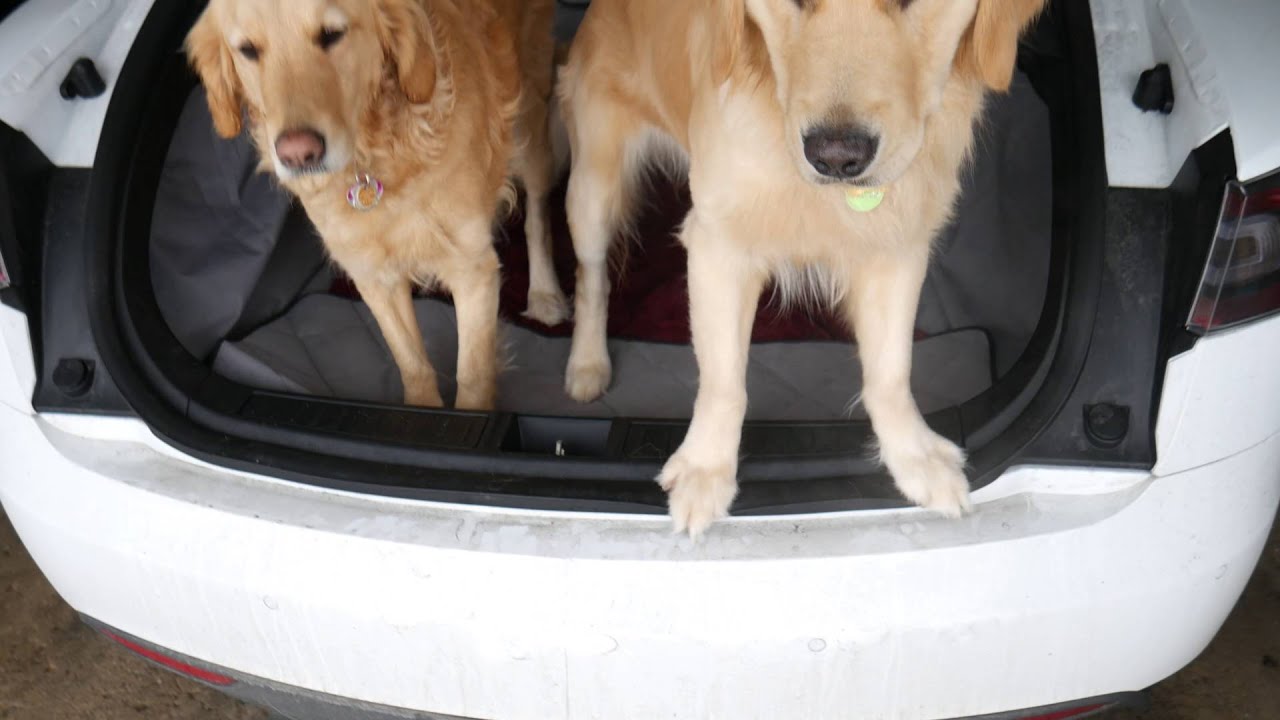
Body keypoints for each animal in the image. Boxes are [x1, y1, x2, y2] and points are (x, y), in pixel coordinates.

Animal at [186, 0, 568, 409]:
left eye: (332, 34)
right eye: (247, 50)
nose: (298, 154)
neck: (371, 160)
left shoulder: (472, 269)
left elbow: (473, 375)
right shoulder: (371, 275)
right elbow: (411, 362)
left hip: (528, 114)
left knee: (538, 215)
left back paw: (545, 295)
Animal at [565, 0, 1044, 532]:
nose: (836, 157)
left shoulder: (898, 248)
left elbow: (891, 373)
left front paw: (912, 456)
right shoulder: (717, 246)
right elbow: (723, 381)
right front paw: (706, 469)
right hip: (594, 186)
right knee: (590, 276)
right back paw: (587, 363)